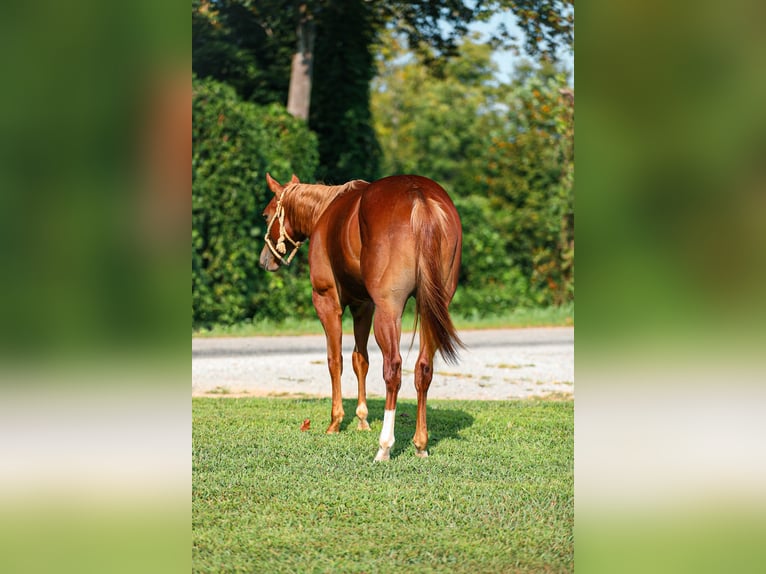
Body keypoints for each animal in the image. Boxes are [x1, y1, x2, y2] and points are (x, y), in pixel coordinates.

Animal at [260, 173, 463, 460]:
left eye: (266, 216)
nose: (265, 260)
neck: (326, 212)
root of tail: (419, 197)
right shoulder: (363, 306)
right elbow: (360, 360)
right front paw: (362, 419)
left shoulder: (327, 302)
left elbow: (336, 361)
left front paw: (335, 422)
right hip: (431, 308)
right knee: (423, 368)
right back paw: (420, 444)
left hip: (389, 310)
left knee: (393, 370)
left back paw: (385, 446)